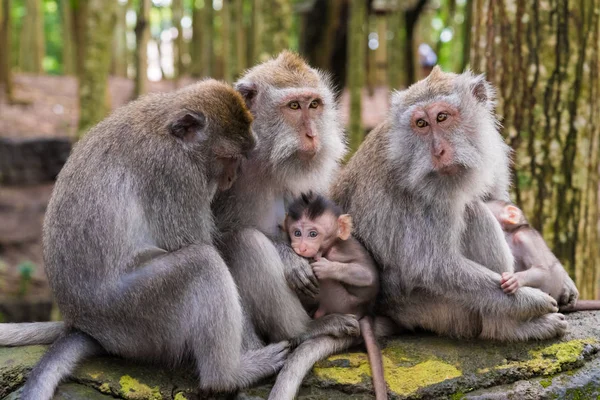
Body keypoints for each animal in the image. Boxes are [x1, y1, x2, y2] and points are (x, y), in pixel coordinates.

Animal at [0, 79, 290, 398]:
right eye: (227, 158)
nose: (229, 179)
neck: (167, 129)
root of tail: (83, 323)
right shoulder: (175, 173)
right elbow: (200, 243)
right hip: (135, 315)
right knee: (202, 263)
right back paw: (228, 375)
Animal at [270, 192, 386, 398]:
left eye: (313, 234)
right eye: (297, 233)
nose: (301, 247)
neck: (330, 246)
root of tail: (365, 312)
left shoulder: (337, 253)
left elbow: (367, 276)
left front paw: (324, 267)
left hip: (342, 302)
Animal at [330, 67, 564, 342]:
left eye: (442, 117)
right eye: (421, 123)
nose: (438, 151)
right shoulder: (425, 197)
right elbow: (436, 267)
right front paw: (532, 300)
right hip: (437, 310)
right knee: (473, 212)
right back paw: (508, 327)